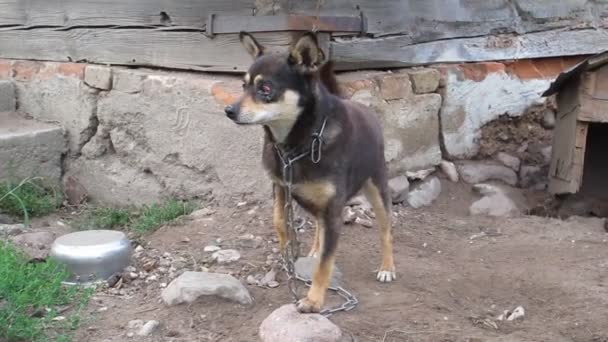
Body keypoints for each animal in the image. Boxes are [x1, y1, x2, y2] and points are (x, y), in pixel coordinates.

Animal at [224, 31, 394, 312]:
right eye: (243, 85)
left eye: (266, 89)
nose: (229, 110)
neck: (296, 145)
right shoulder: (281, 186)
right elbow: (279, 221)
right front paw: (286, 251)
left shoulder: (334, 210)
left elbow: (326, 263)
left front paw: (314, 300)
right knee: (318, 226)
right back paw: (314, 247)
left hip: (377, 189)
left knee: (386, 231)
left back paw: (387, 267)